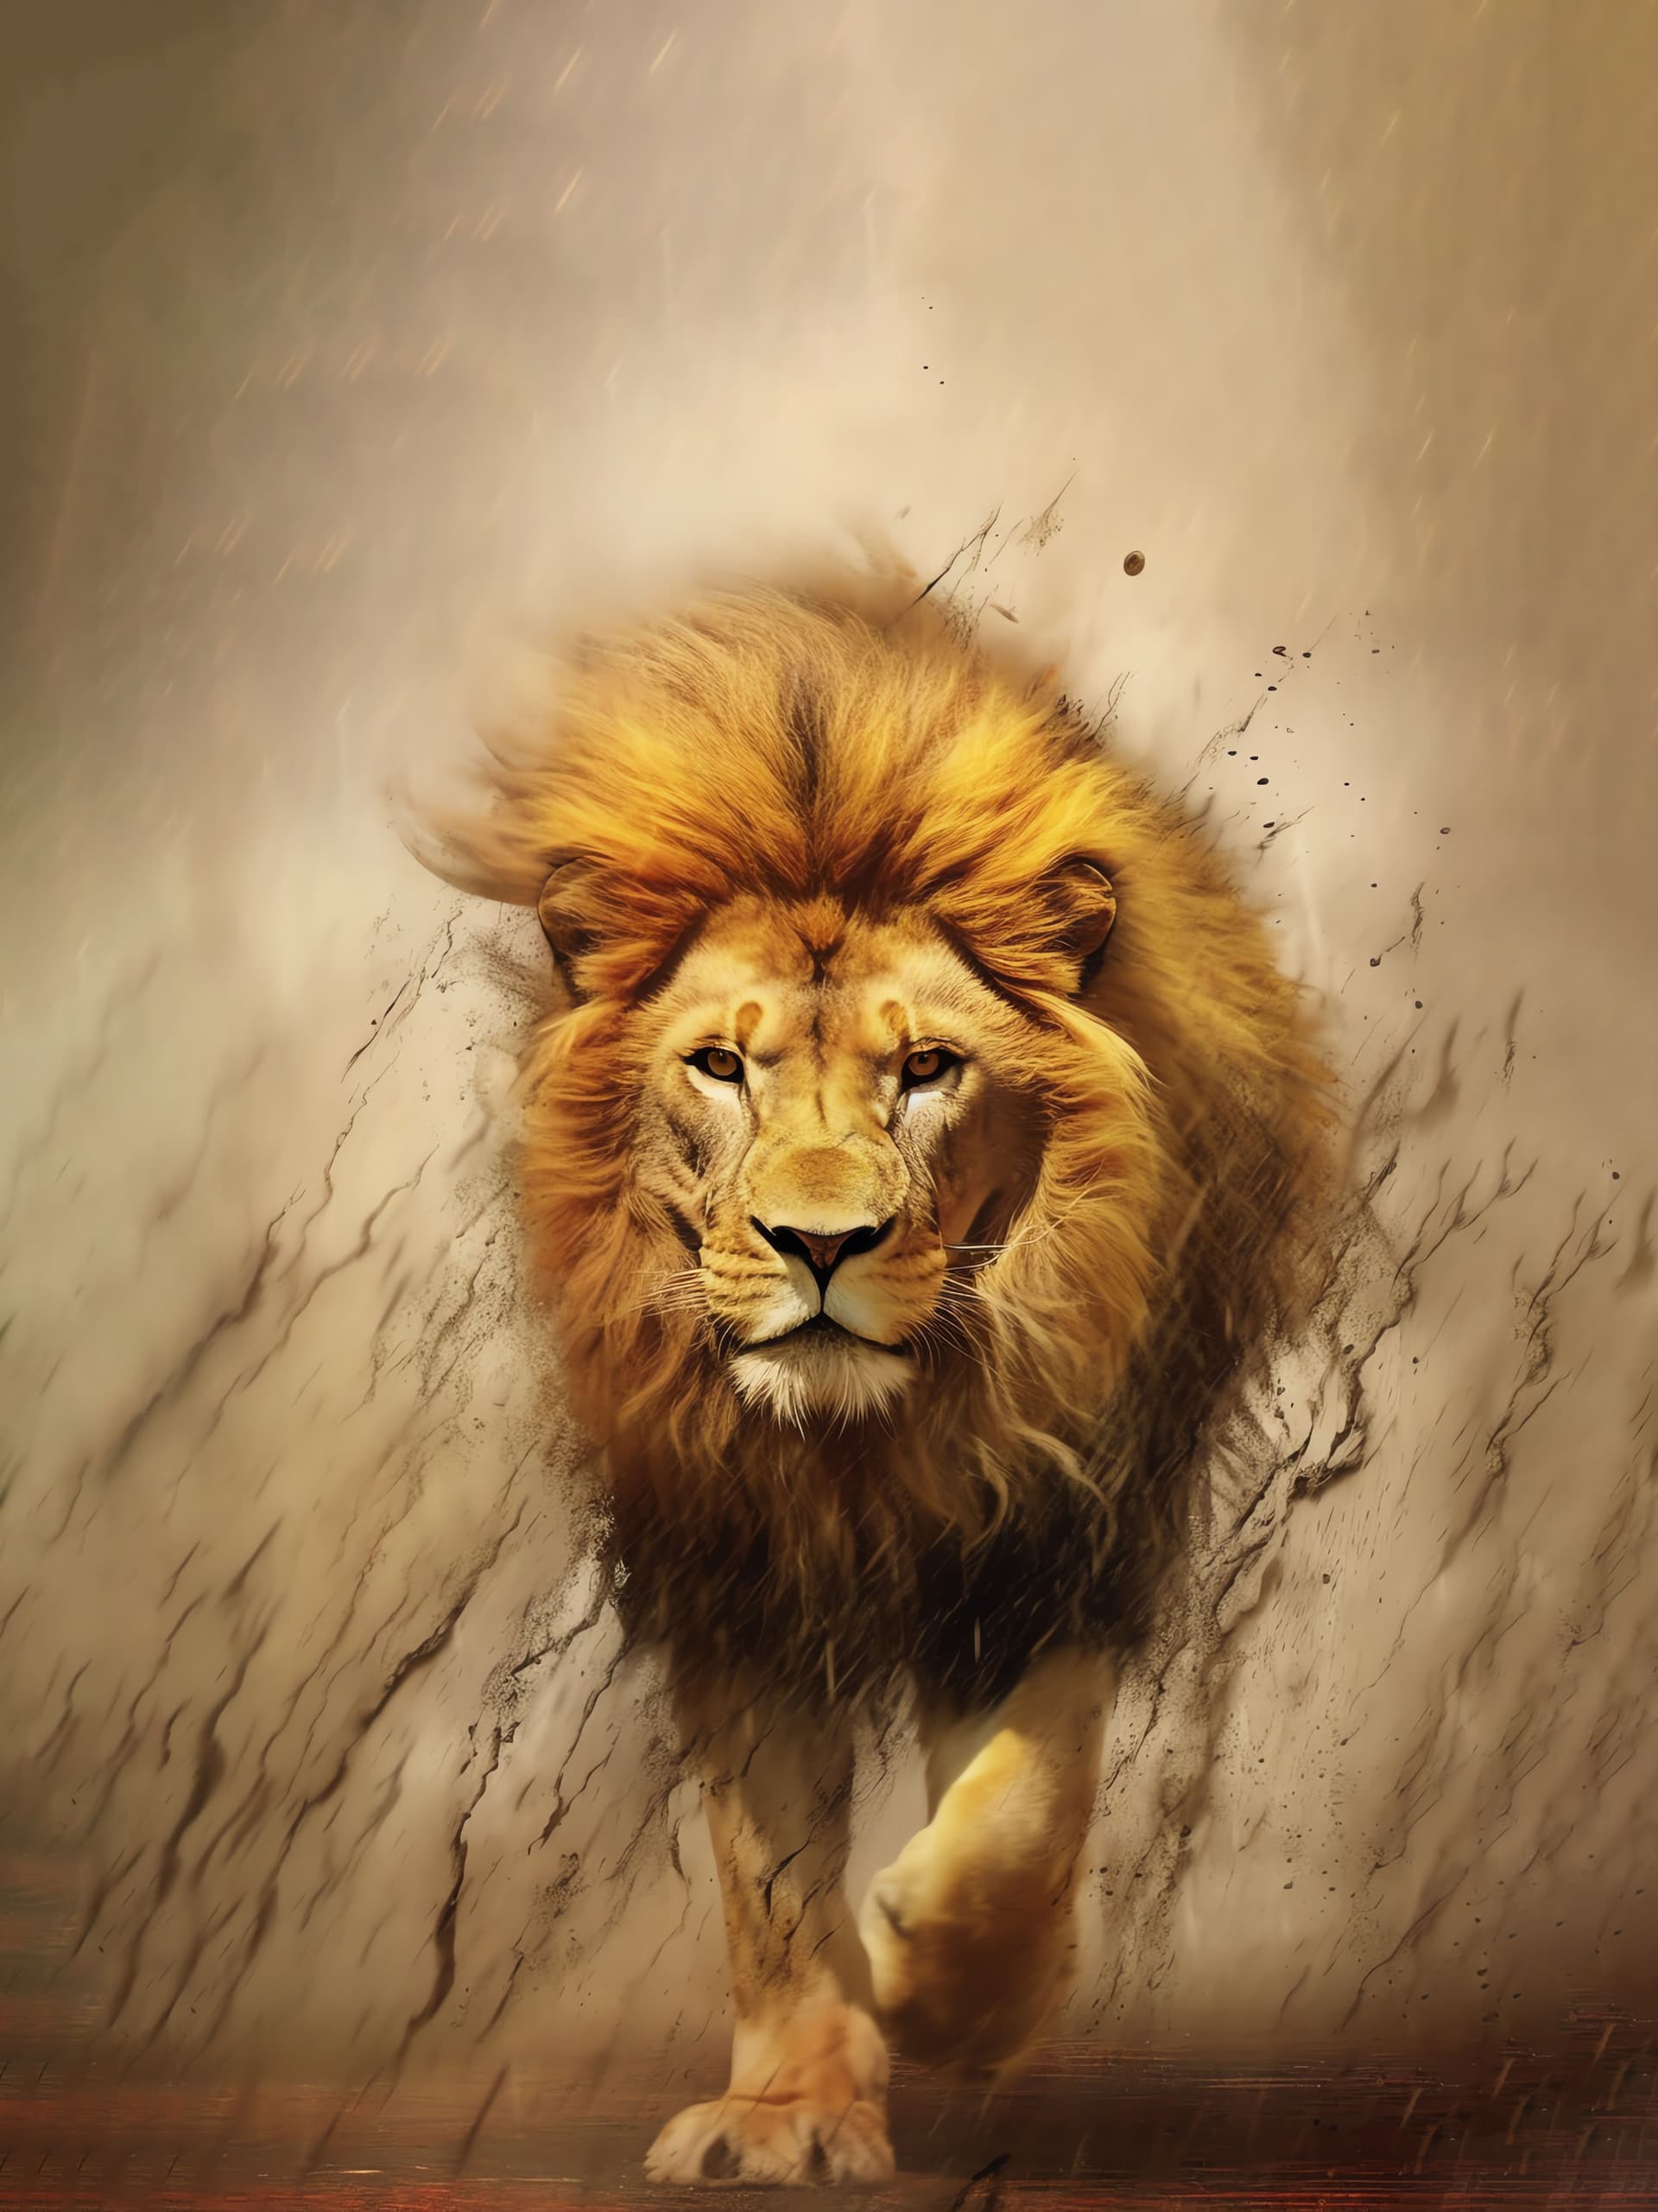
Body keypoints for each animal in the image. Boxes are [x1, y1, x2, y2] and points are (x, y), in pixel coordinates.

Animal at [419, 574, 1331, 2185]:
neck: (862, 1450)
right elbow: (770, 1877)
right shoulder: (732, 1569)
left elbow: (1027, 1794)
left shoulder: (1054, 1528)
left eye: (929, 1071)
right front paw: (788, 2111)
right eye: (720, 1066)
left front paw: (952, 1992)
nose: (822, 1241)